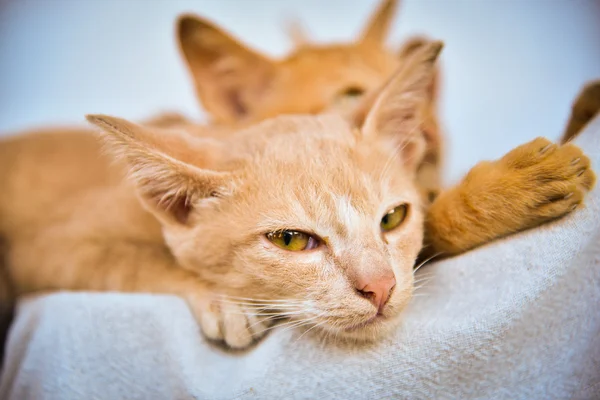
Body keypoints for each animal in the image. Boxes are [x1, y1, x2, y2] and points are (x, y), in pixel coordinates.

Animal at [0, 40, 596, 348]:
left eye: (393, 219)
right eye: (290, 241)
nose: (381, 287)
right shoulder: (46, 248)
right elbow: (141, 263)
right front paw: (225, 300)